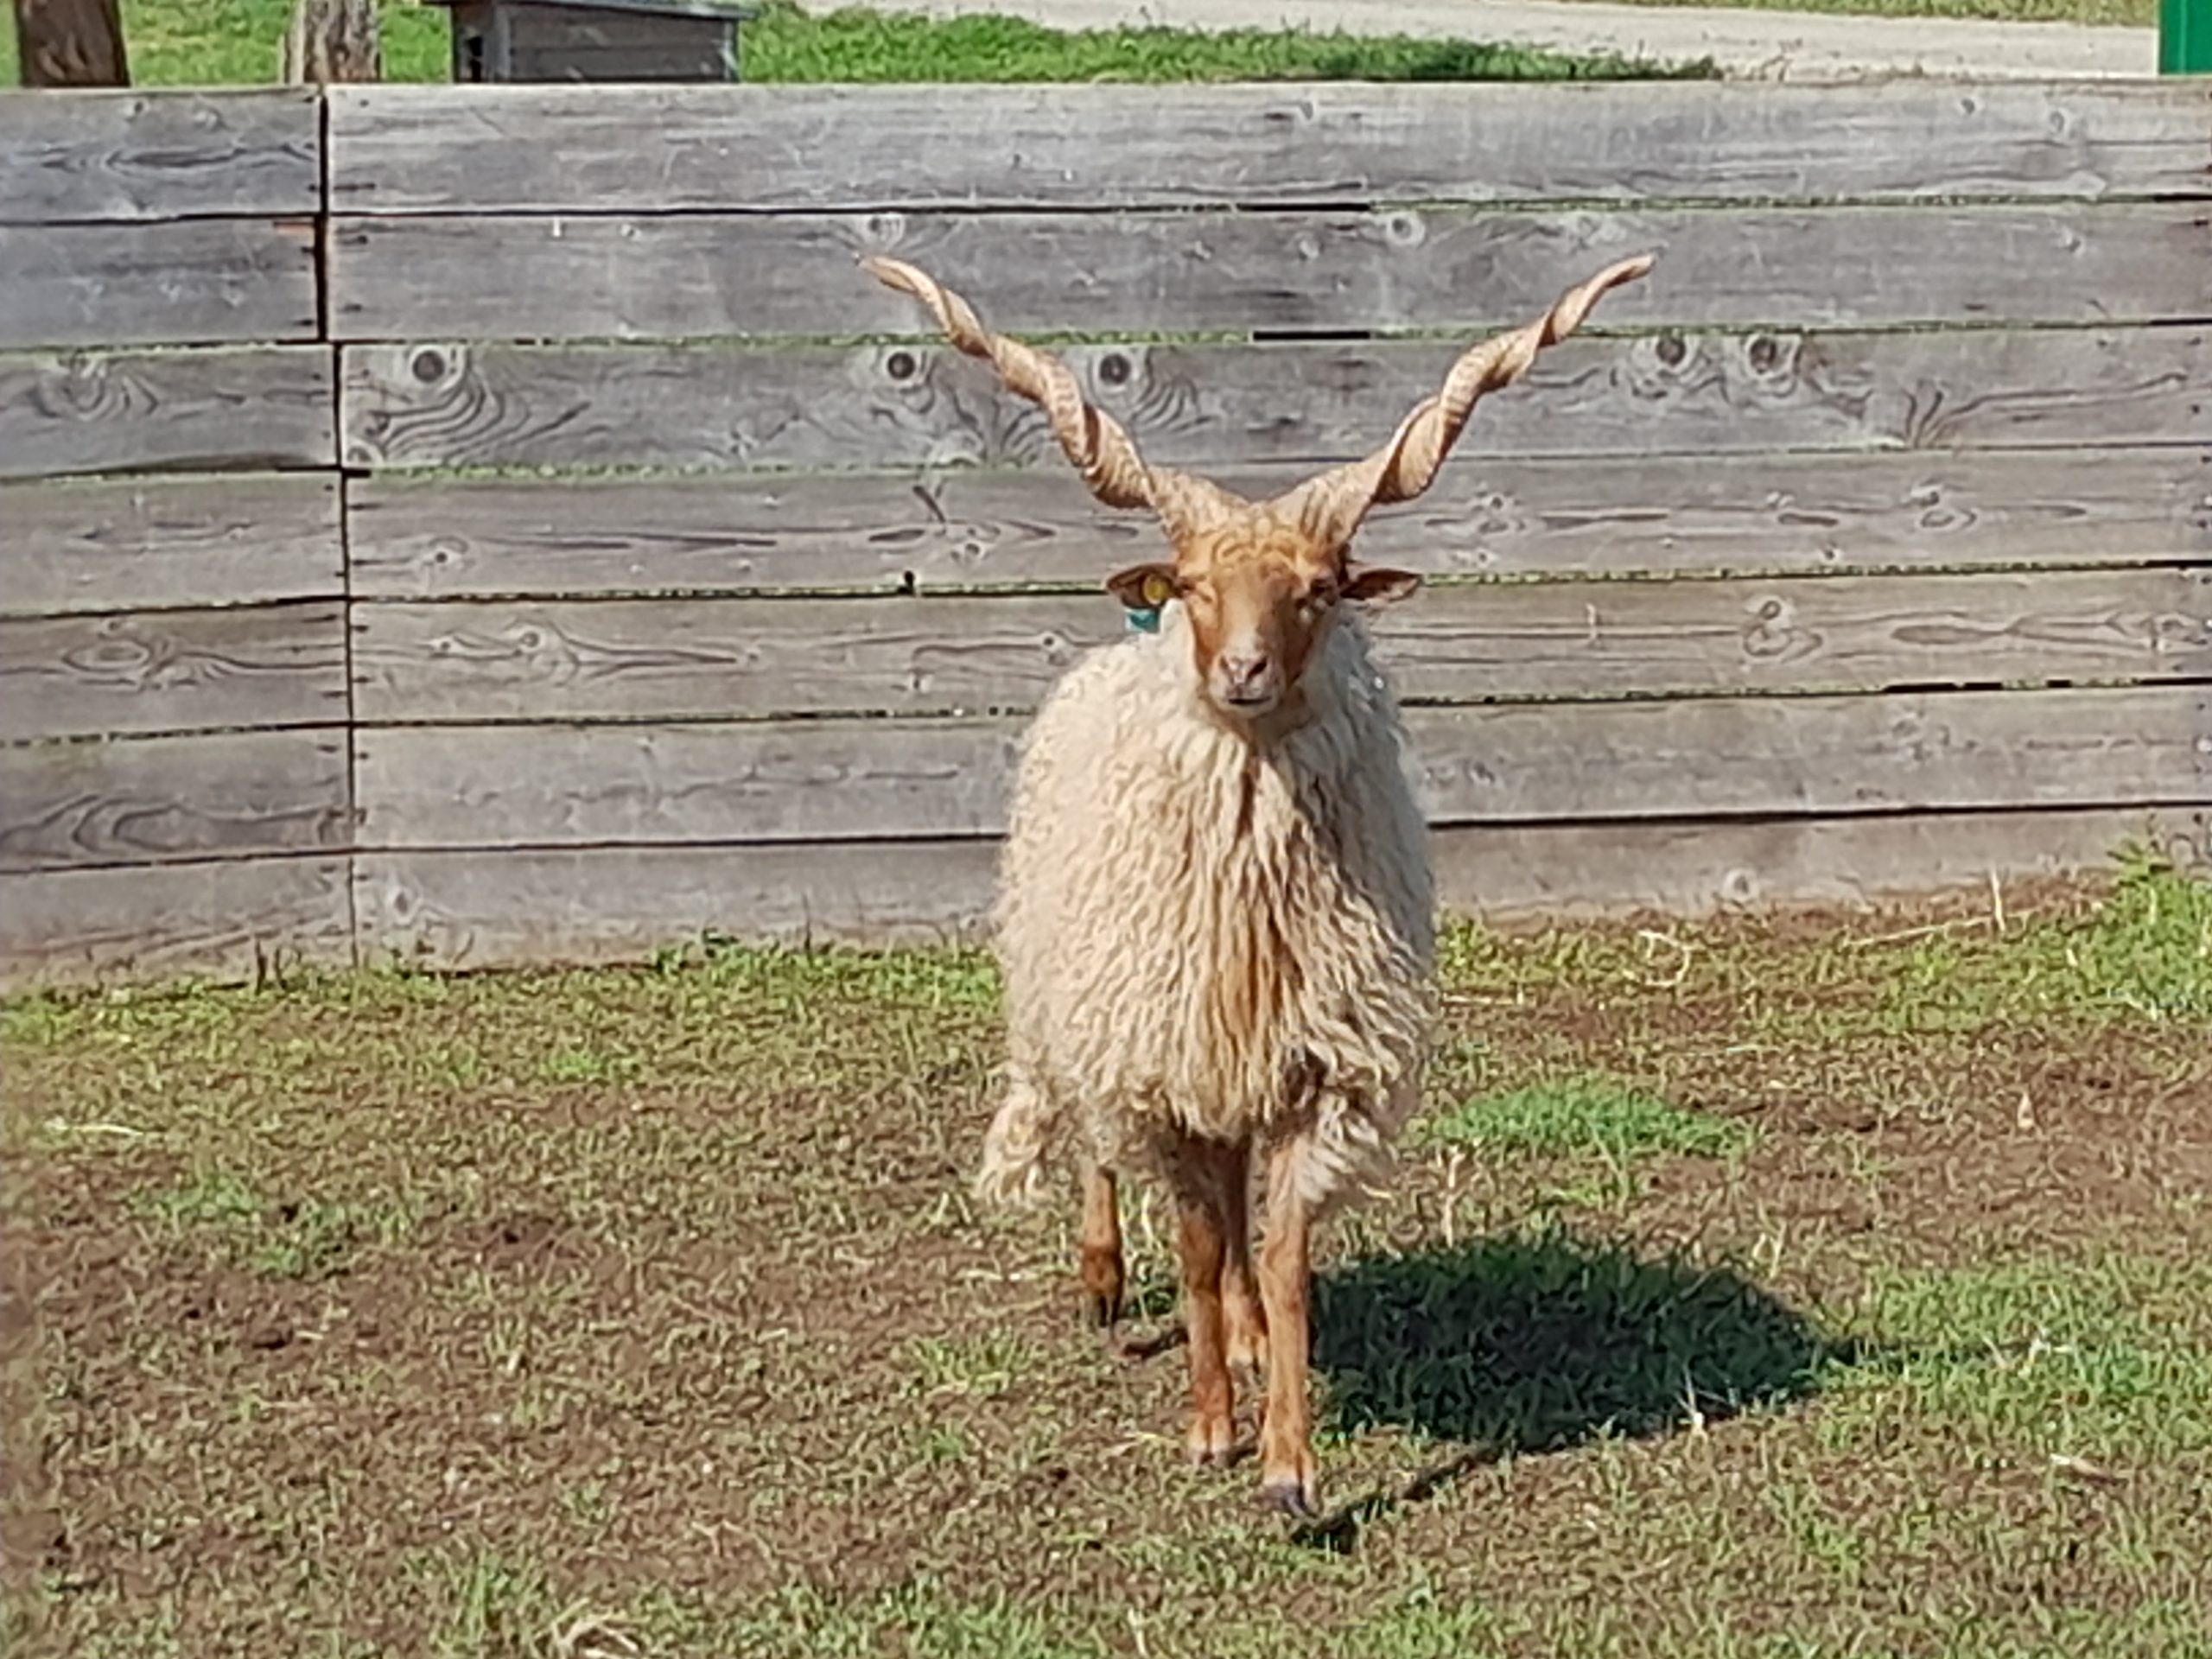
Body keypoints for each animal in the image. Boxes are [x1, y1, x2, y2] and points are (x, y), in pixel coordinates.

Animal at [871, 250, 1654, 1522]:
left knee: (1236, 1208)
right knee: (1094, 1151)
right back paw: (1103, 1278)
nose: (1241, 670)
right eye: (1194, 583)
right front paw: (1207, 1432)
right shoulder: (1160, 1068)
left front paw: (1288, 1464)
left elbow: (1279, 1255)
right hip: (1079, 1007)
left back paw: (1235, 1339)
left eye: (1323, 587)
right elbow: (1194, 1248)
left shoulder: (1312, 1067)